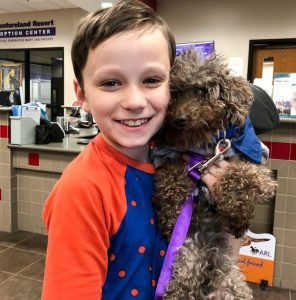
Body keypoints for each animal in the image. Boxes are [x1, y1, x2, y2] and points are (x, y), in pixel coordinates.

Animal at [154, 49, 276, 300]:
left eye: (201, 91)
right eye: (175, 93)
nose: (179, 120)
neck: (205, 146)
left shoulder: (255, 161)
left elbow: (241, 176)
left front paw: (237, 217)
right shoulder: (170, 156)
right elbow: (172, 179)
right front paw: (170, 219)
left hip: (230, 283)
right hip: (187, 261)